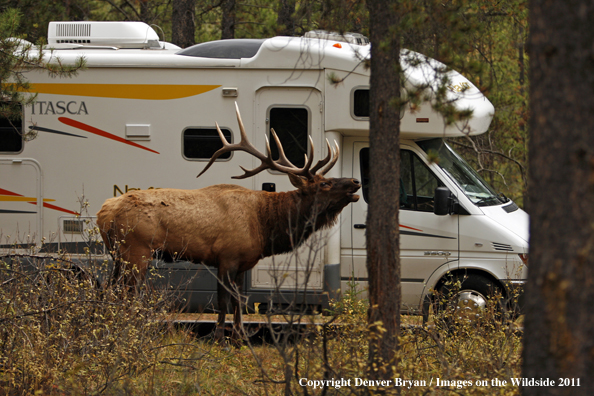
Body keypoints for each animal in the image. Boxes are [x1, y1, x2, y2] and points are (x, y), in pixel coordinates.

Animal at [96, 103, 360, 344]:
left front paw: (239, 336)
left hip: (118, 255)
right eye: (324, 184)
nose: (355, 182)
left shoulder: (241, 263)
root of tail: (104, 213)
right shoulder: (227, 257)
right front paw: (221, 338)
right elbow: (223, 301)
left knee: (110, 289)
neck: (265, 227)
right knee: (127, 293)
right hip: (136, 252)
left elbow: (238, 300)